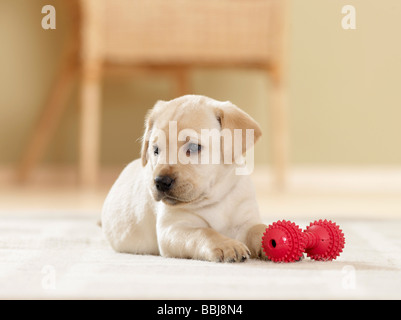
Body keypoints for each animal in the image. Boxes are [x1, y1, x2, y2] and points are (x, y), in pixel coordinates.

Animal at [101, 95, 268, 262]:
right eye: (156, 150)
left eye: (193, 147)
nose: (161, 182)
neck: (214, 199)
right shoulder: (173, 229)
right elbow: (204, 232)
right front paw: (227, 245)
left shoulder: (245, 222)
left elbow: (258, 228)